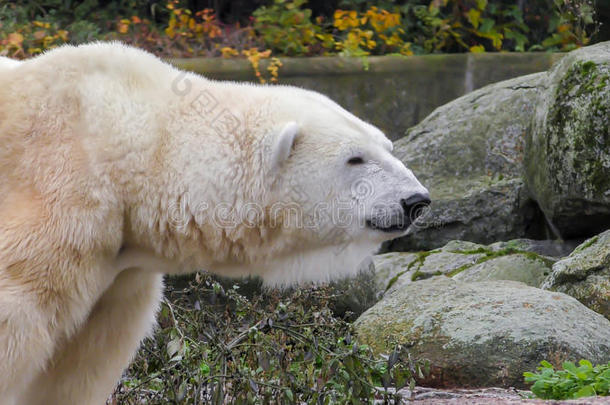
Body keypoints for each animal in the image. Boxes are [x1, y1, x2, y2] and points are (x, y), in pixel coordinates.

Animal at [0, 42, 428, 402]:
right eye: (355, 158)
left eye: (387, 146)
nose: (416, 201)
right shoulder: (61, 194)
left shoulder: (120, 274)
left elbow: (82, 360)